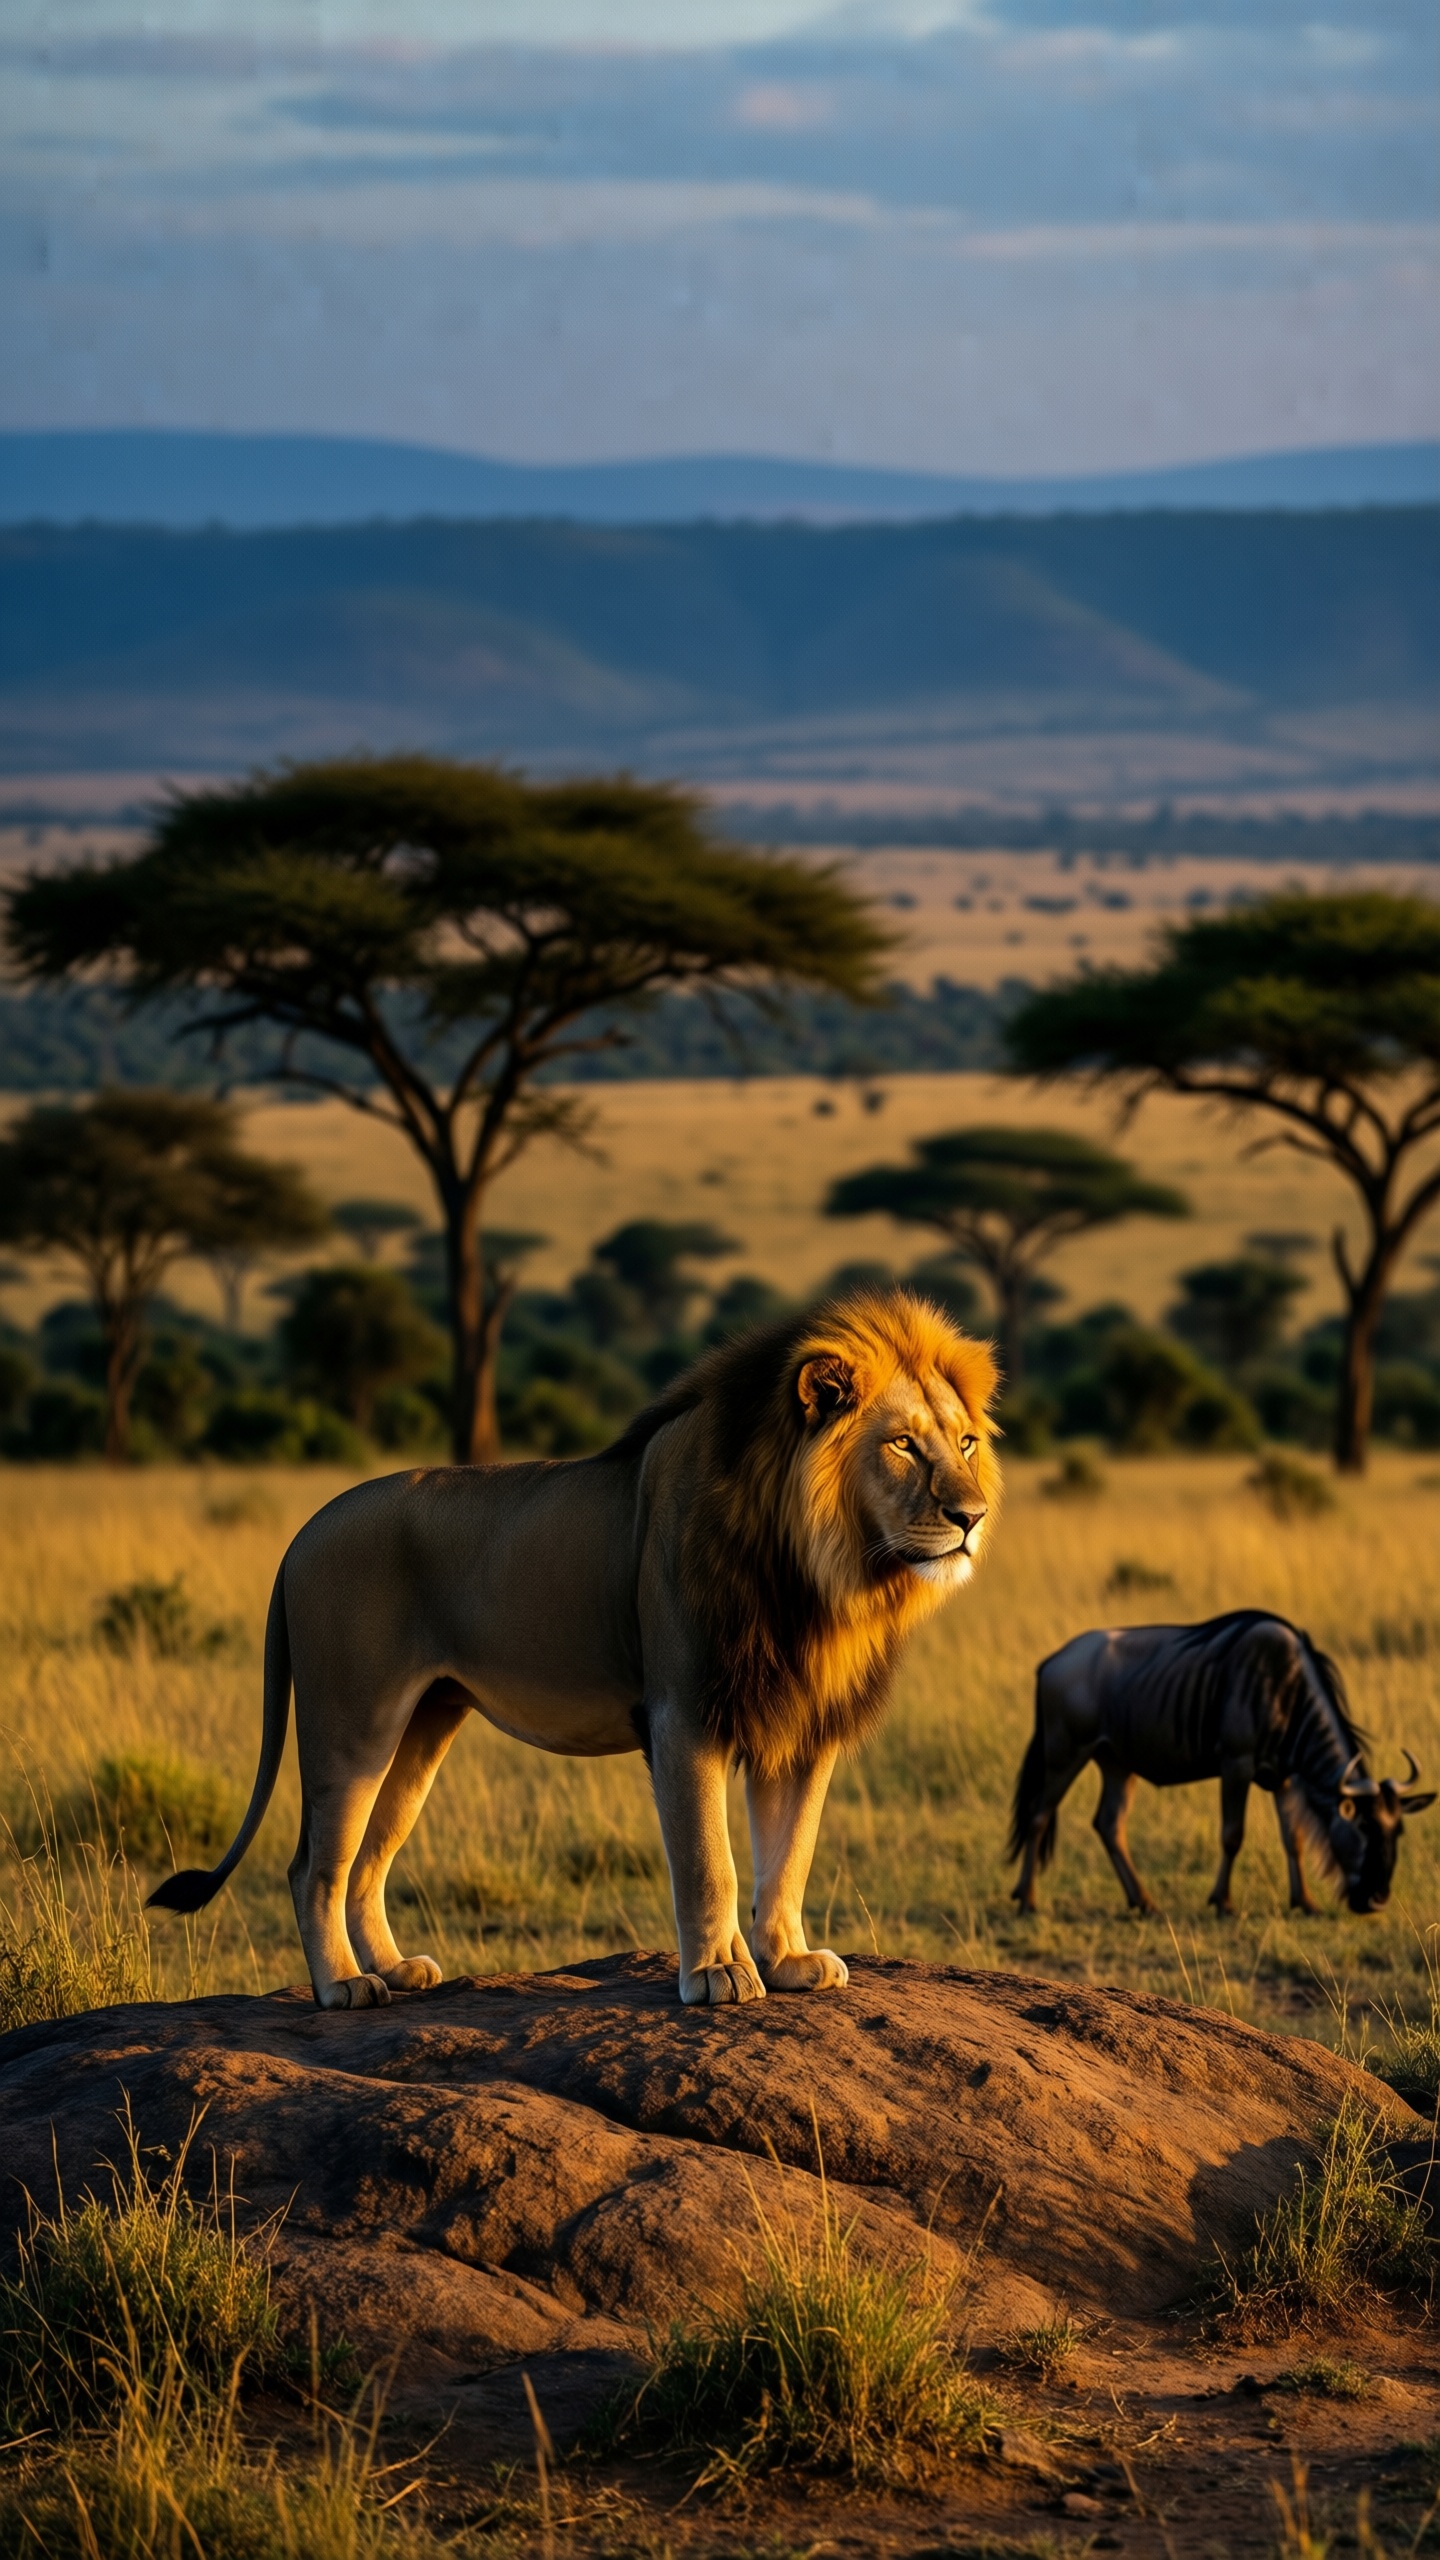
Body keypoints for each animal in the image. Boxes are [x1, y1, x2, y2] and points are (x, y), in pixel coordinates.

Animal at [151, 1289, 1000, 2010]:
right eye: (902, 1446)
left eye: (963, 1443)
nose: (973, 1516)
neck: (821, 1573)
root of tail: (301, 1534)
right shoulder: (683, 1714)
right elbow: (710, 1862)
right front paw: (718, 1974)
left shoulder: (800, 1726)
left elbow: (789, 1855)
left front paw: (789, 1962)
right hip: (351, 1720)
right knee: (313, 1866)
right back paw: (344, 1987)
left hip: (422, 1728)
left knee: (366, 1859)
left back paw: (395, 1969)